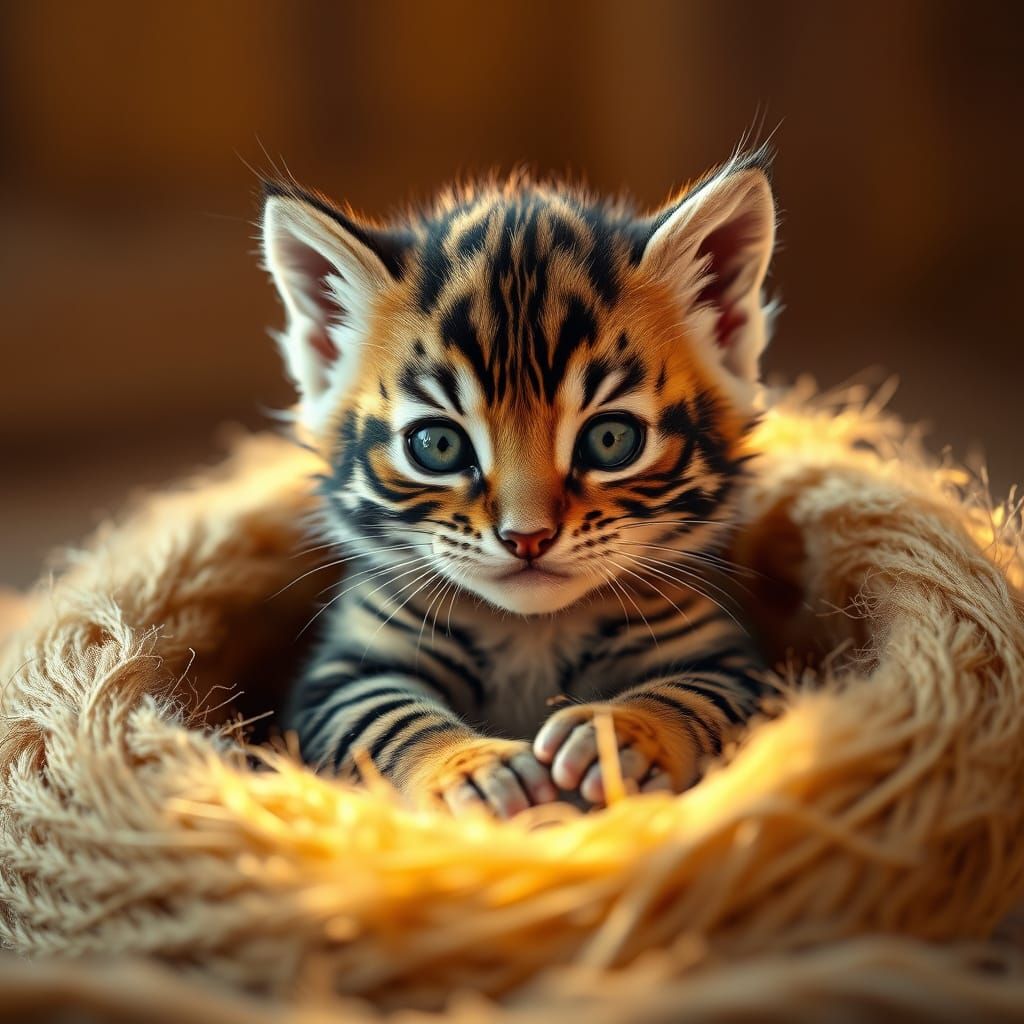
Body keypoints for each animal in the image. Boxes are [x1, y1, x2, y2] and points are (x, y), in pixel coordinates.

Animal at [263, 148, 776, 818]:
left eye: (611, 441)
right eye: (438, 446)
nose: (526, 537)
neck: (533, 630)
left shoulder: (729, 657)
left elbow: (696, 695)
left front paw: (618, 736)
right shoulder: (344, 672)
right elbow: (384, 719)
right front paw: (473, 771)